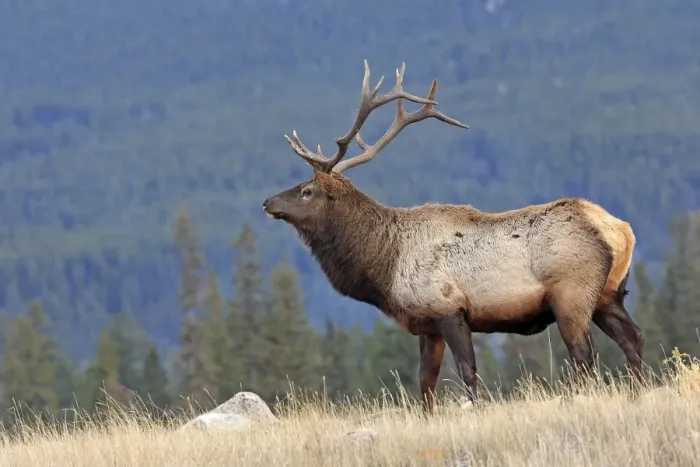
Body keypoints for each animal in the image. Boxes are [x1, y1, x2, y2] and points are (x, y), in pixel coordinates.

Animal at [262, 60, 645, 415]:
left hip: (572, 293)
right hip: (609, 294)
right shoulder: (427, 324)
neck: (385, 265)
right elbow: (425, 380)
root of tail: (619, 230)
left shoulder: (449, 309)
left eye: (307, 190)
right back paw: (636, 393)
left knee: (583, 354)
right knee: (634, 338)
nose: (267, 201)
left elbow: (467, 371)